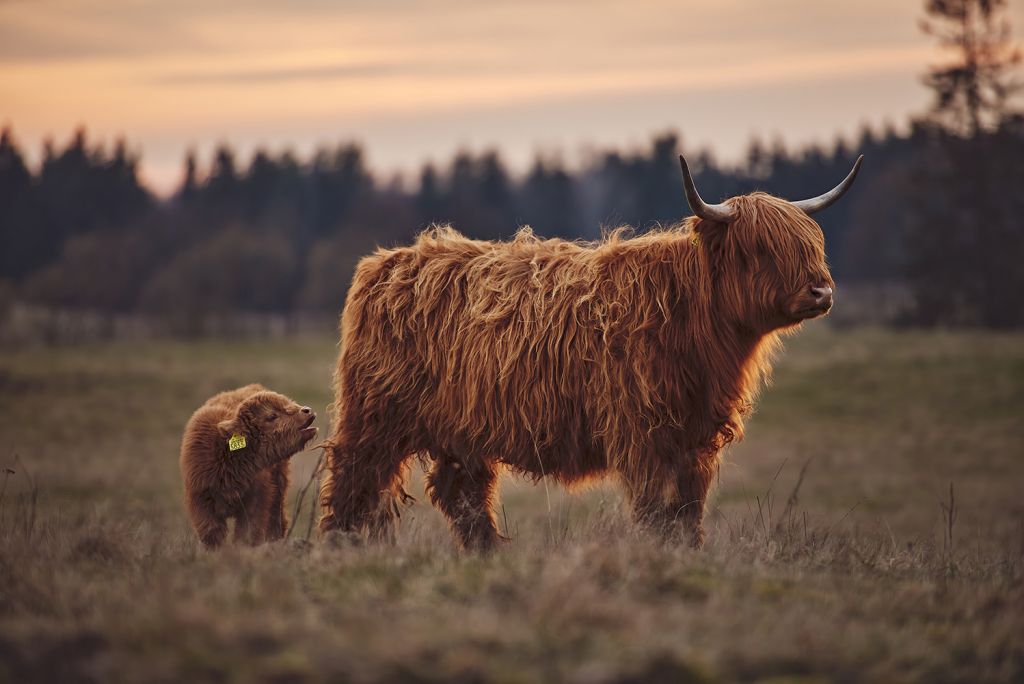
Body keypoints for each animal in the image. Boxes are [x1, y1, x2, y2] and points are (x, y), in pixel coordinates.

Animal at [180, 385, 315, 548]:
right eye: (271, 416)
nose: (307, 410)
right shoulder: (201, 504)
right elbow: (212, 535)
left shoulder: (255, 502)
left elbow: (246, 535)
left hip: (279, 487)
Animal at [315, 153, 860, 548]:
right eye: (761, 248)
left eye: (812, 244)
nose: (821, 291)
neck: (693, 316)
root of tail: (385, 263)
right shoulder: (644, 434)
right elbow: (657, 510)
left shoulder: (696, 439)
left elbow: (688, 512)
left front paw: (687, 555)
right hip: (375, 415)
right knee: (353, 480)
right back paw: (342, 549)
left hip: (462, 429)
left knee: (462, 493)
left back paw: (487, 555)